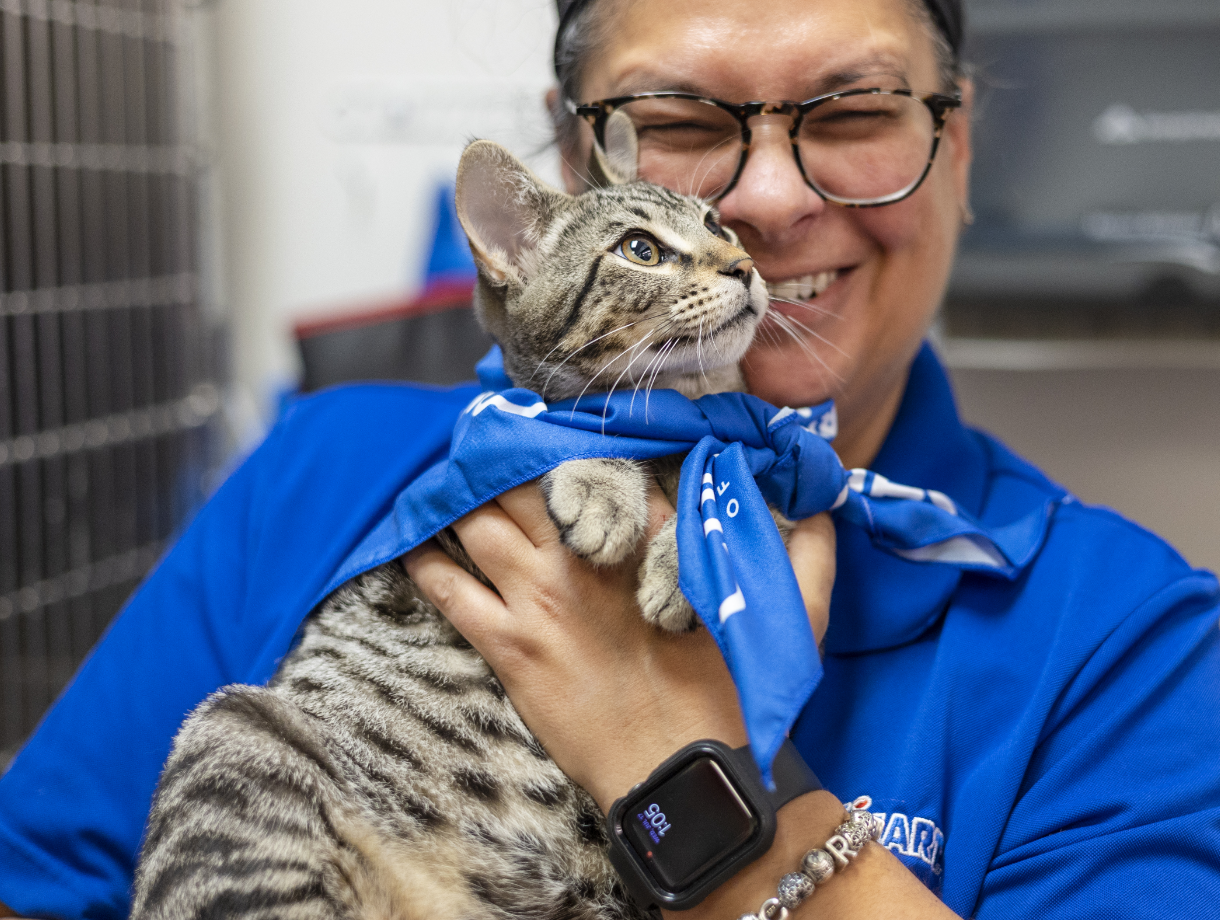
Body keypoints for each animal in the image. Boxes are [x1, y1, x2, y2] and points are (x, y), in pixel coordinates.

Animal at [131, 137, 771, 917]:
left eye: (719, 224)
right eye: (640, 250)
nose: (744, 263)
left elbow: (738, 485)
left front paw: (686, 556)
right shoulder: (454, 516)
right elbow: (571, 429)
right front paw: (604, 484)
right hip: (232, 737)